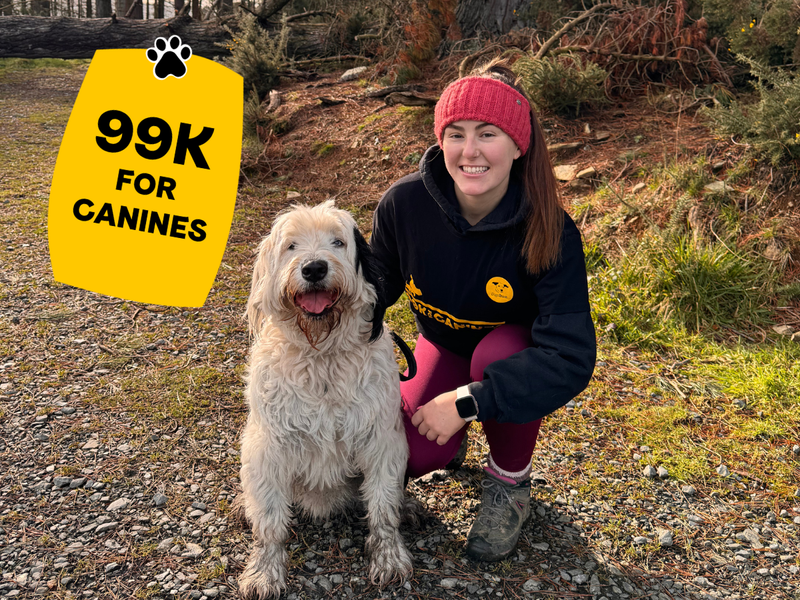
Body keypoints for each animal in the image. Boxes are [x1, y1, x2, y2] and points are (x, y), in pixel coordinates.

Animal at [238, 202, 412, 600]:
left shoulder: (382, 439)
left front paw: (388, 555)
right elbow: (270, 521)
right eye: (291, 245)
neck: (322, 355)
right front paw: (265, 570)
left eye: (338, 241)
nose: (314, 268)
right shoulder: (269, 448)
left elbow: (383, 506)